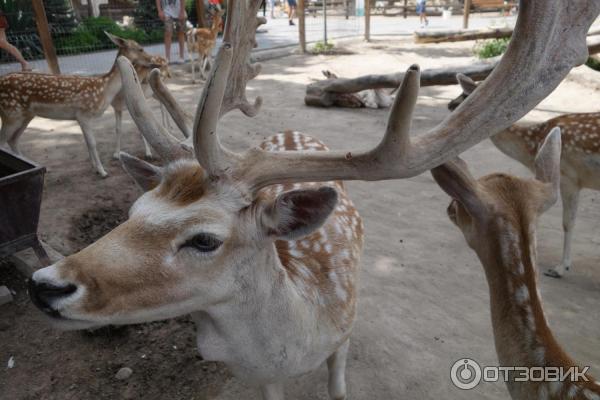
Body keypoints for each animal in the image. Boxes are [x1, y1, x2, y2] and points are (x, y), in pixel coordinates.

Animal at [0, 33, 161, 177]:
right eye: (140, 48)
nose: (155, 62)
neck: (103, 90)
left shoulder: (78, 117)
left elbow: (87, 143)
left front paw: (95, 169)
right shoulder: (84, 114)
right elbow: (92, 143)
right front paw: (103, 172)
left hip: (25, 116)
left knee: (13, 141)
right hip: (11, 114)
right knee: (4, 142)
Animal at [448, 73, 600, 276]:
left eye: (467, 95)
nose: (450, 104)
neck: (531, 146)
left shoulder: (569, 178)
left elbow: (568, 223)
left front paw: (560, 268)